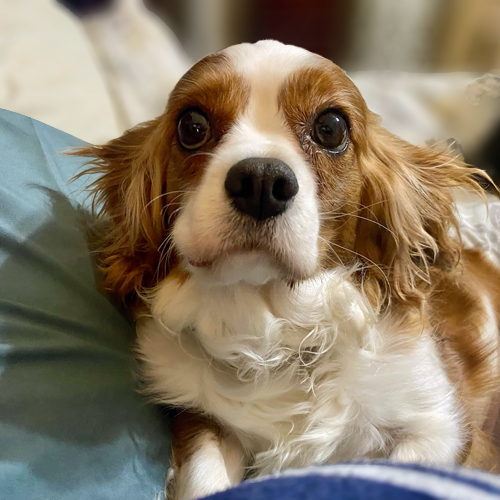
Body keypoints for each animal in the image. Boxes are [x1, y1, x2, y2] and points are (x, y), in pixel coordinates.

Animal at [75, 40, 500, 500]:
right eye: (192, 126)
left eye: (330, 128)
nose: (260, 181)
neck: (279, 329)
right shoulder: (201, 418)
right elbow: (204, 476)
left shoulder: (443, 428)